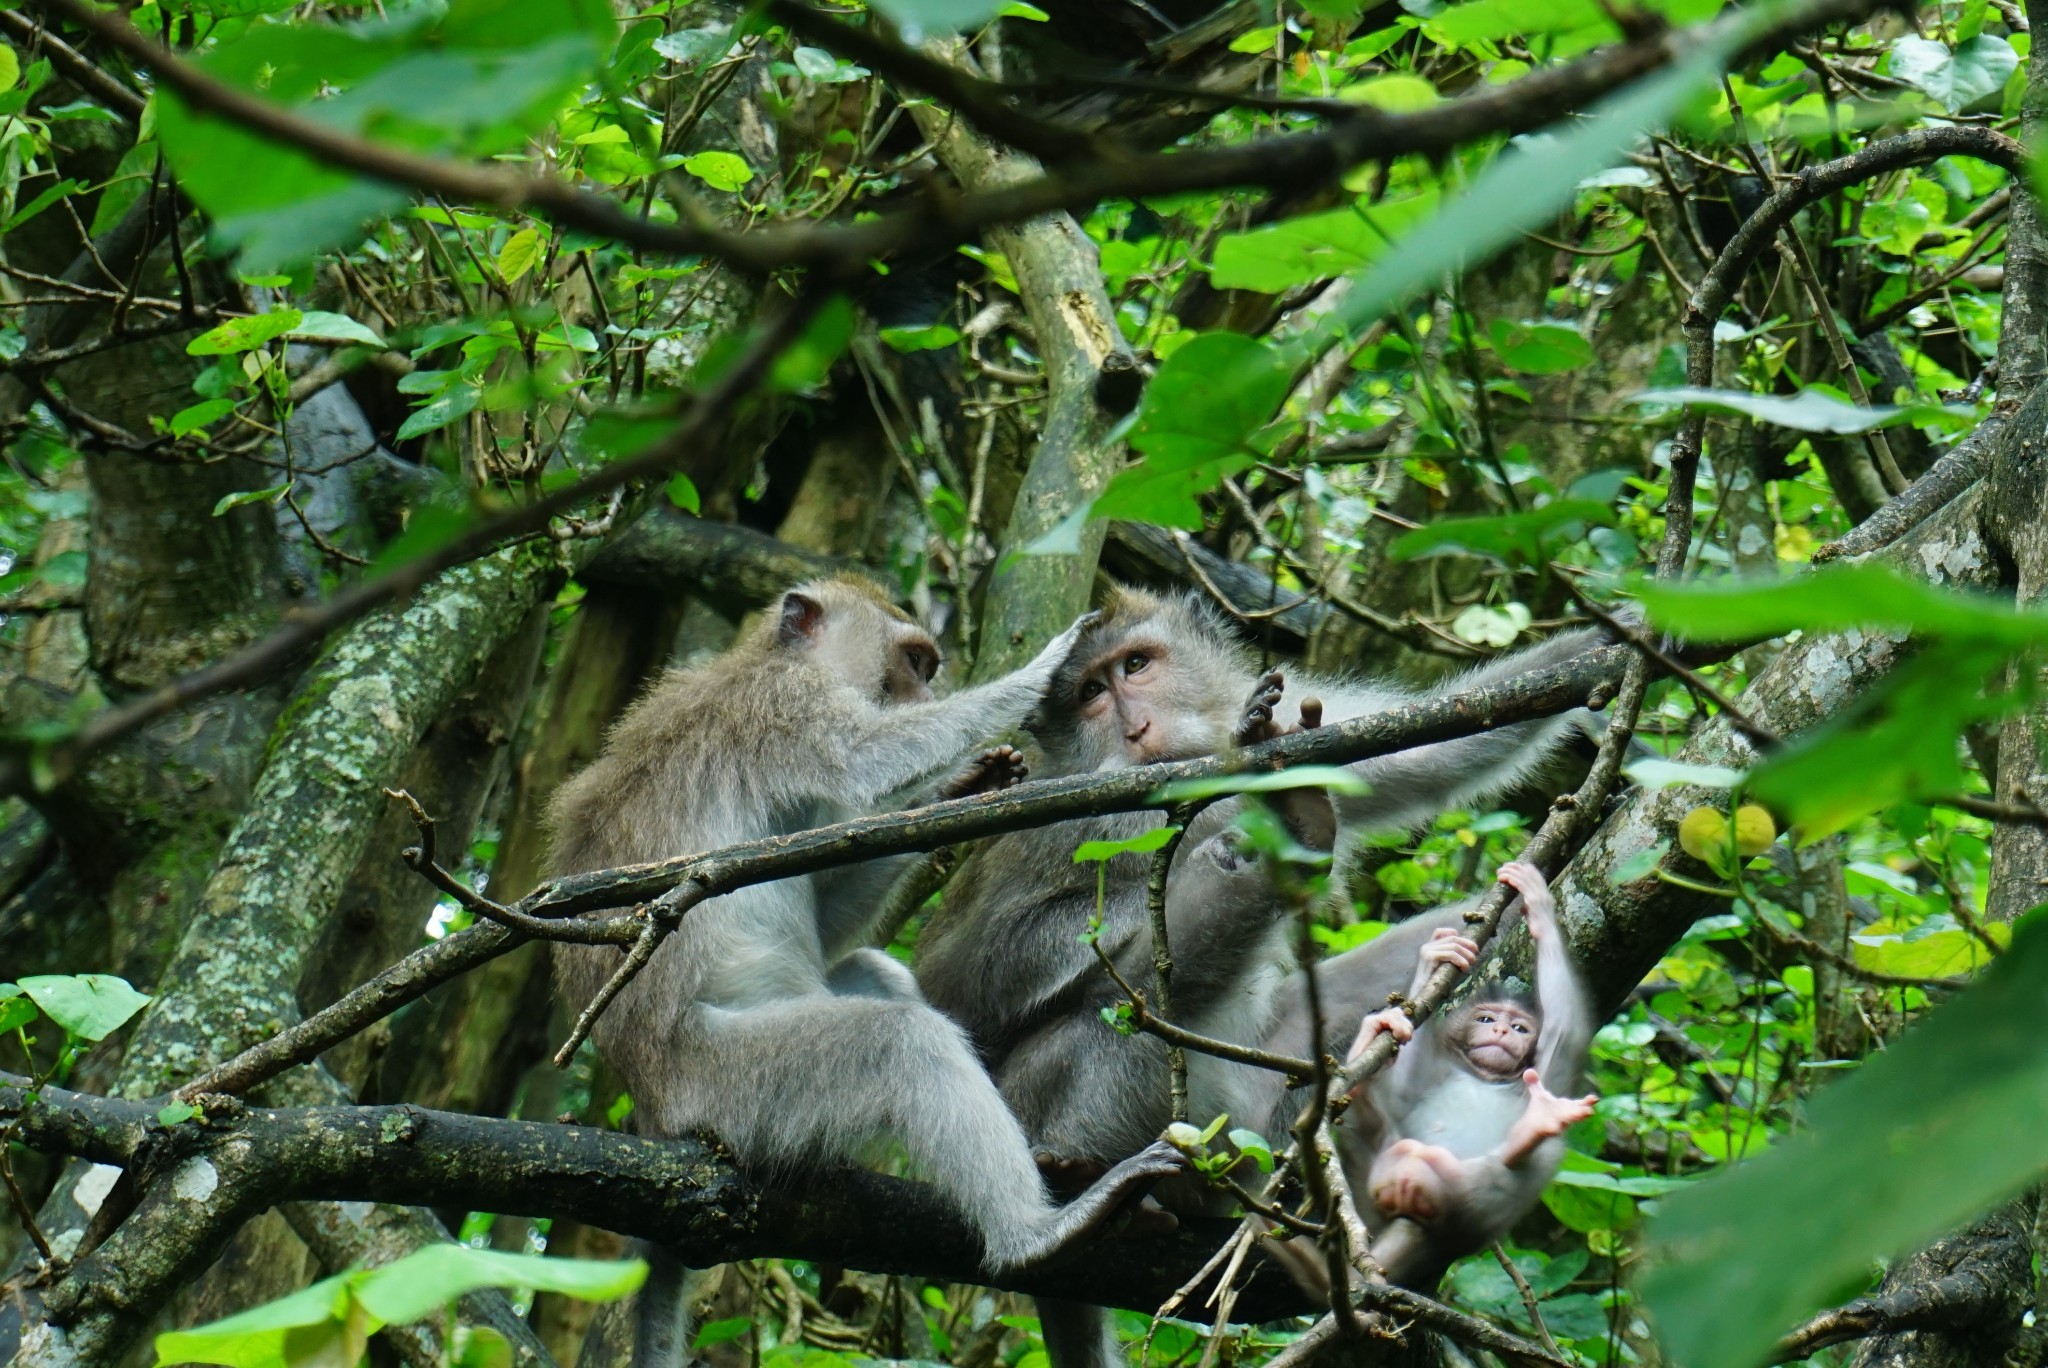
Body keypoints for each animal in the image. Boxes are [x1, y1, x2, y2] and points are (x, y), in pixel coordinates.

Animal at [552, 577, 1179, 1368]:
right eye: (915, 661)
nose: (927, 689)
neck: (771, 659)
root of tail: (653, 1109)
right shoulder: (789, 708)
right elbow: (865, 760)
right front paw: (1043, 665)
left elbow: (825, 913)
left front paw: (962, 788)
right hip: (724, 1083)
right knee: (897, 1043)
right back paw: (1034, 1235)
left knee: (877, 977)